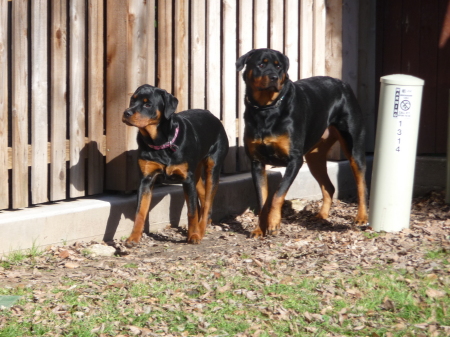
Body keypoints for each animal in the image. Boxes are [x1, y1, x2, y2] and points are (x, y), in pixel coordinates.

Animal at [122, 85, 229, 244]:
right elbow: (140, 211)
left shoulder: (187, 179)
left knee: (208, 200)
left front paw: (193, 235)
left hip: (213, 167)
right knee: (203, 195)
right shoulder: (146, 179)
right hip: (195, 171)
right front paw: (133, 237)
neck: (160, 143)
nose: (126, 112)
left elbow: (191, 210)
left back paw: (201, 229)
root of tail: (213, 116)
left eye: (148, 104)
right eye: (132, 100)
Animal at [236, 48, 370, 238]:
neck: (266, 110)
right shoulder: (256, 162)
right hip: (314, 157)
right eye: (261, 64)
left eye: (279, 66)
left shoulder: (294, 160)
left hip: (354, 147)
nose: (274, 77)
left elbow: (278, 194)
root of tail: (343, 83)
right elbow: (262, 199)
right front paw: (259, 229)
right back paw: (321, 215)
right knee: (329, 187)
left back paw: (361, 217)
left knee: (361, 184)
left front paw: (274, 223)